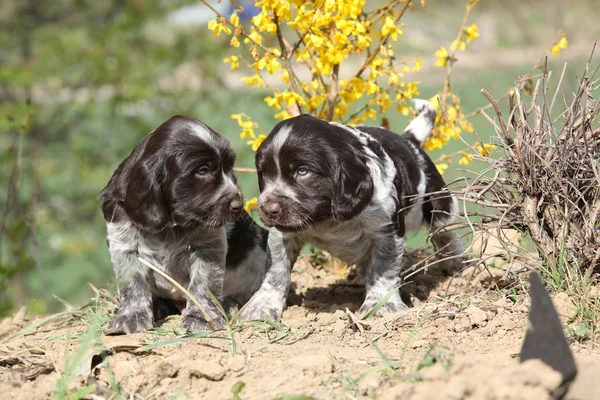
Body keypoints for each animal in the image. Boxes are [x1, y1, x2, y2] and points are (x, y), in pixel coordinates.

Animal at [100, 115, 268, 334]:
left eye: (230, 167)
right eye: (203, 170)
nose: (238, 206)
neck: (172, 224)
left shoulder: (208, 246)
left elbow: (203, 284)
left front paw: (203, 318)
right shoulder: (124, 242)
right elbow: (132, 284)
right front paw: (131, 317)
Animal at [239, 101, 464, 322]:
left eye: (303, 171)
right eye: (263, 173)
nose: (267, 209)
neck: (328, 218)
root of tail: (409, 141)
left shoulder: (385, 231)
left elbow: (383, 269)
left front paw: (382, 305)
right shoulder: (283, 234)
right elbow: (276, 271)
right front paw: (262, 306)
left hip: (440, 202)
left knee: (446, 232)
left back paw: (457, 264)